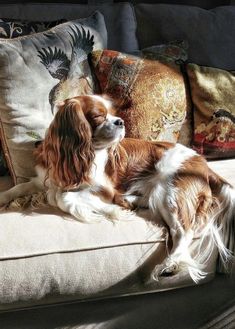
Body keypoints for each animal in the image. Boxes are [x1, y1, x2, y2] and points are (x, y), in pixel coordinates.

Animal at [0, 95, 235, 282]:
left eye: (113, 114)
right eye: (97, 116)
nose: (120, 121)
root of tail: (203, 163)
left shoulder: (105, 190)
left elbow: (63, 198)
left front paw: (111, 209)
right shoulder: (43, 180)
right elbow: (19, 187)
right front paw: (4, 197)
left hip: (169, 190)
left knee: (184, 231)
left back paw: (172, 264)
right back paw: (132, 201)